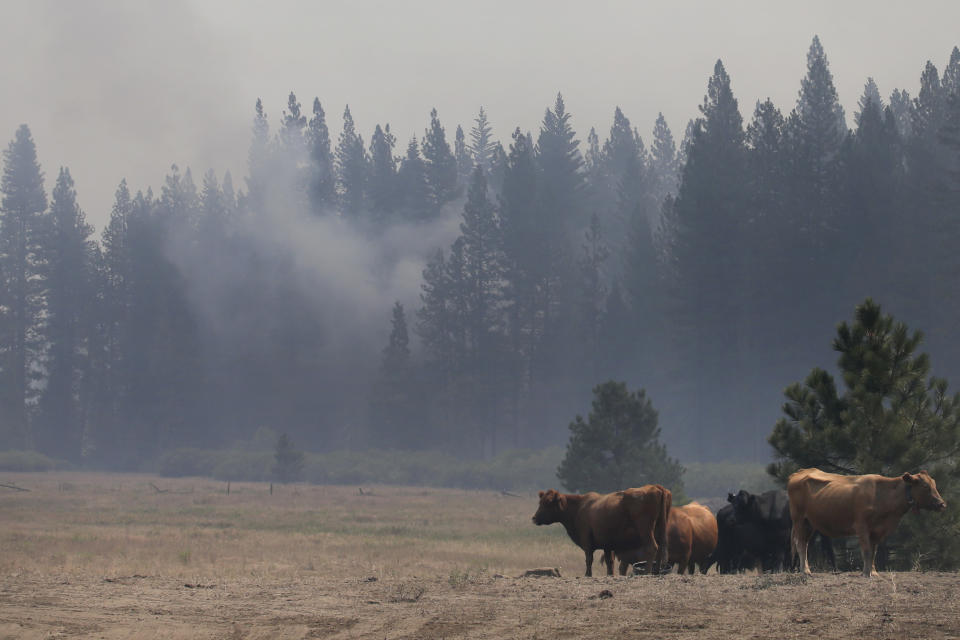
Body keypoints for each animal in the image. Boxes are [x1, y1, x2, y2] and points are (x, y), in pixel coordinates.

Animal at [528, 482, 672, 576]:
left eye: (547, 503)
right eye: (540, 502)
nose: (534, 518)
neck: (579, 508)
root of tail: (656, 487)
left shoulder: (587, 541)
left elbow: (589, 559)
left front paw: (587, 574)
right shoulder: (607, 545)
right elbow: (609, 562)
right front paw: (609, 575)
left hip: (646, 530)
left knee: (652, 547)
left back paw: (647, 572)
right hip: (660, 530)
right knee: (660, 548)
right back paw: (656, 571)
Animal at [788, 468, 944, 576]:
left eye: (934, 484)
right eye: (925, 486)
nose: (942, 504)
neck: (881, 494)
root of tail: (800, 472)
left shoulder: (877, 530)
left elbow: (873, 551)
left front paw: (873, 572)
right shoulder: (861, 526)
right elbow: (867, 550)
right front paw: (866, 573)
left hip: (809, 523)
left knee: (805, 544)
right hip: (799, 519)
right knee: (800, 543)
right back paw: (805, 571)